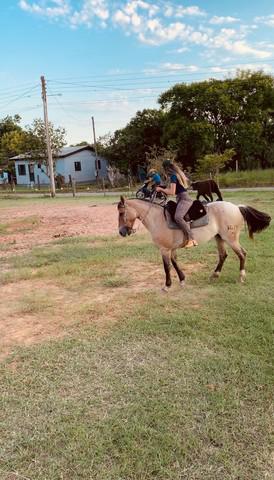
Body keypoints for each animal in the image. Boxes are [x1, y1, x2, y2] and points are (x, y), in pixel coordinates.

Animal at [116, 197, 270, 290]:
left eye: (122, 213)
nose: (122, 232)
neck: (158, 218)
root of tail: (237, 207)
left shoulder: (164, 249)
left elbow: (167, 267)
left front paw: (167, 285)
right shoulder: (172, 249)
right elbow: (175, 263)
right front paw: (182, 280)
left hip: (231, 239)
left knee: (242, 254)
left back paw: (241, 276)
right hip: (219, 238)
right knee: (223, 255)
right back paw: (215, 275)